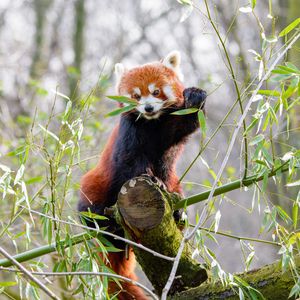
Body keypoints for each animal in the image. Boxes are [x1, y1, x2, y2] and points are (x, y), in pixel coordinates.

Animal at [78, 50, 207, 298]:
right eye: (136, 96)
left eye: (156, 91)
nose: (148, 108)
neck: (152, 122)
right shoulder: (130, 132)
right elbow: (130, 160)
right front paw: (149, 177)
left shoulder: (169, 129)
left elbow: (184, 125)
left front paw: (195, 97)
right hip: (96, 185)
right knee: (91, 208)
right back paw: (103, 222)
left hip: (174, 182)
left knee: (175, 192)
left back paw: (178, 213)